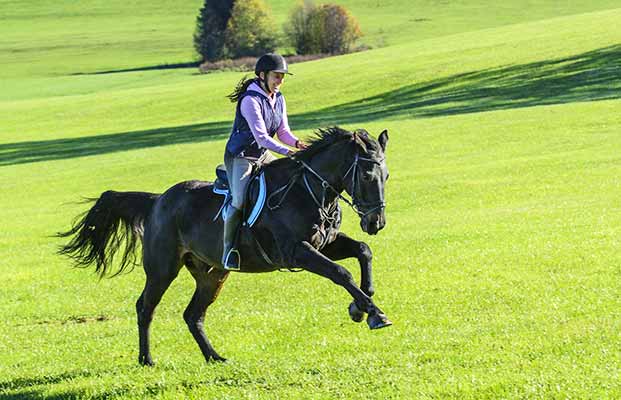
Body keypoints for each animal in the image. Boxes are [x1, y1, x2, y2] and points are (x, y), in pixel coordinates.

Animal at [57, 126, 388, 364]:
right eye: (367, 175)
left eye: (385, 175)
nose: (376, 222)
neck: (309, 190)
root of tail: (157, 201)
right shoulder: (298, 252)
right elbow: (340, 273)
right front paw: (373, 313)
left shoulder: (324, 245)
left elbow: (363, 251)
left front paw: (360, 306)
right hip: (163, 269)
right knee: (145, 307)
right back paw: (146, 359)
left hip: (212, 274)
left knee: (193, 315)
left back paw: (214, 357)